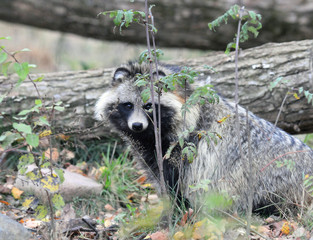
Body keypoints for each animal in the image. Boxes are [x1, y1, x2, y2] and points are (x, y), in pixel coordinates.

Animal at [94, 61, 312, 212]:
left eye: (149, 106)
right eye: (128, 105)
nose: (137, 126)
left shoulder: (184, 151)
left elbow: (177, 186)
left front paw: (176, 214)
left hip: (267, 178)